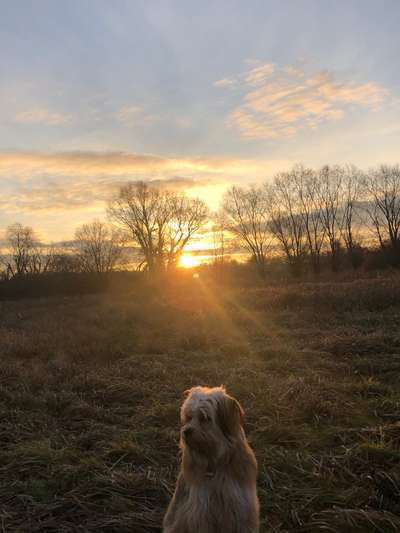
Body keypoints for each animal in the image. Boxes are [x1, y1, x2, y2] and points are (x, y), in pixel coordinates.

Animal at [162, 386, 260, 532]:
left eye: (204, 417)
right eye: (189, 417)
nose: (185, 432)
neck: (214, 460)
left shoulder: (242, 507)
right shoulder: (201, 512)